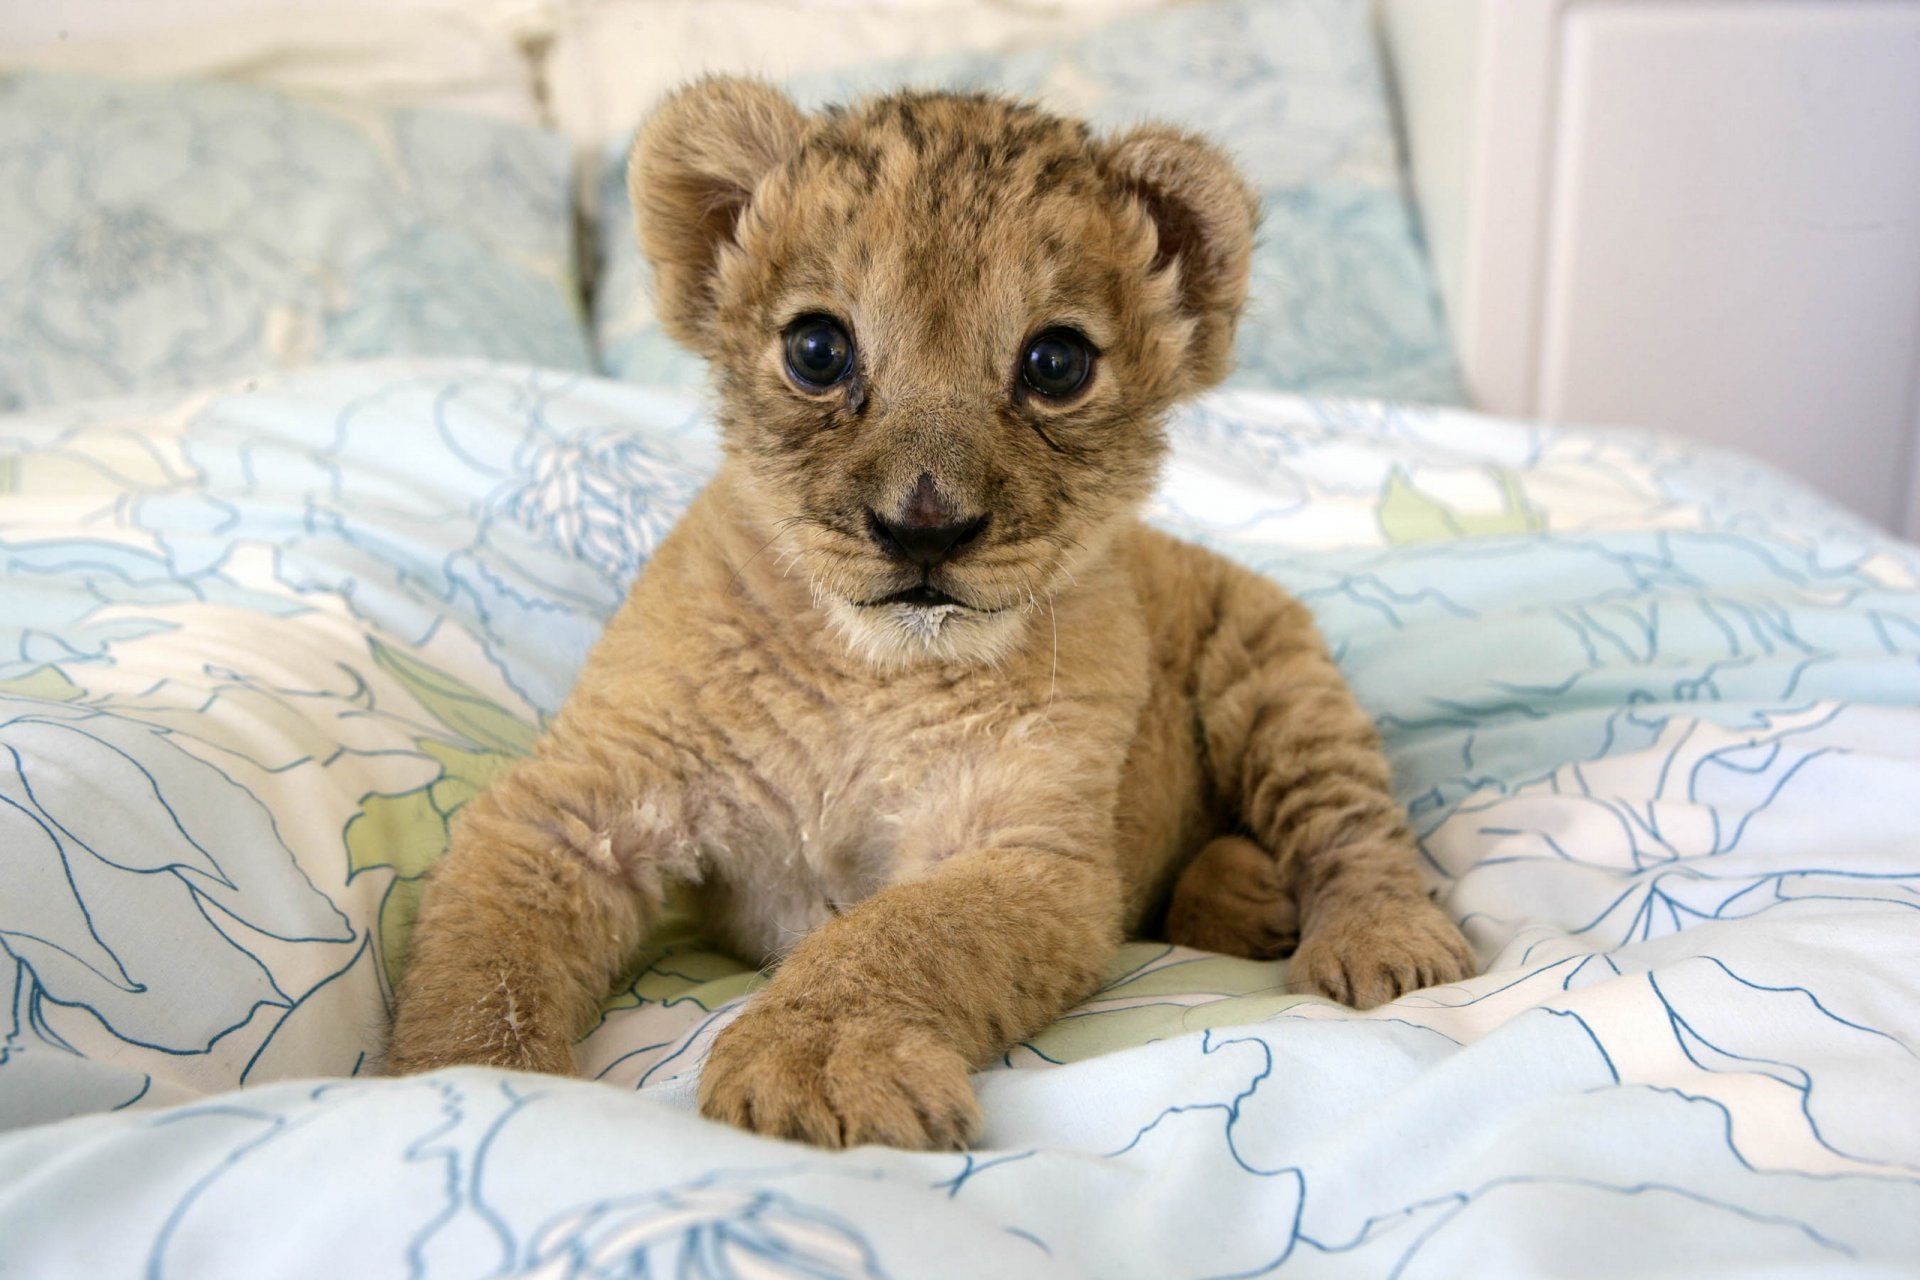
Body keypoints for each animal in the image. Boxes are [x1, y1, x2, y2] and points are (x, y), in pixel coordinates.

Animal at [387, 79, 1476, 1149]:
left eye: (1056, 363)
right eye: (817, 349)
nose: (924, 527)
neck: (868, 672)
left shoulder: (1029, 851)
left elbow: (899, 933)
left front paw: (813, 1067)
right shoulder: (579, 807)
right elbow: (484, 967)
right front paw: (472, 1087)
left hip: (1277, 677)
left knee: (1352, 824)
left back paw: (1378, 943)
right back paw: (1245, 895)